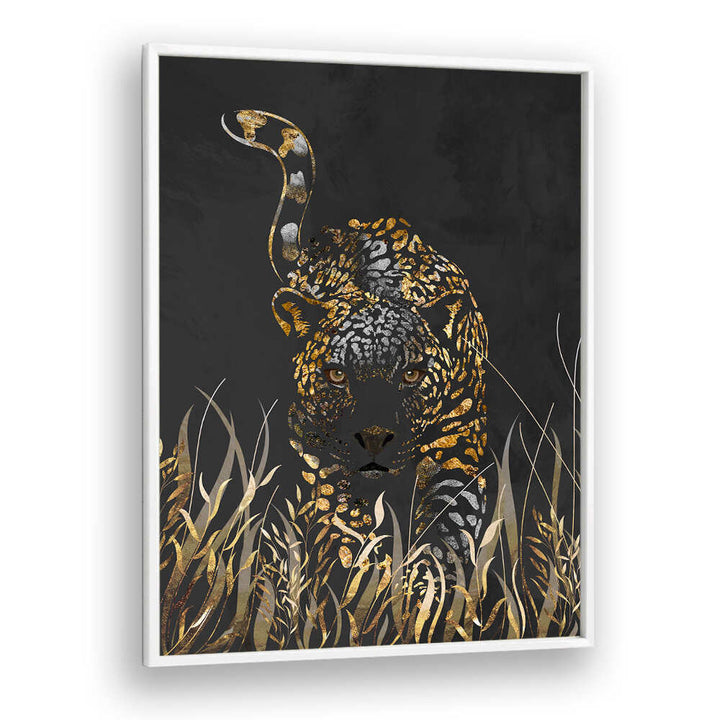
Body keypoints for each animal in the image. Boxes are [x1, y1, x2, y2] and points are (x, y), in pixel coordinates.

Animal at [222, 109, 490, 573]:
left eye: (412, 375)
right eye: (335, 375)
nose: (375, 437)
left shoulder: (458, 444)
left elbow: (449, 525)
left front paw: (428, 579)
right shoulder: (325, 458)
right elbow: (342, 524)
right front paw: (356, 576)